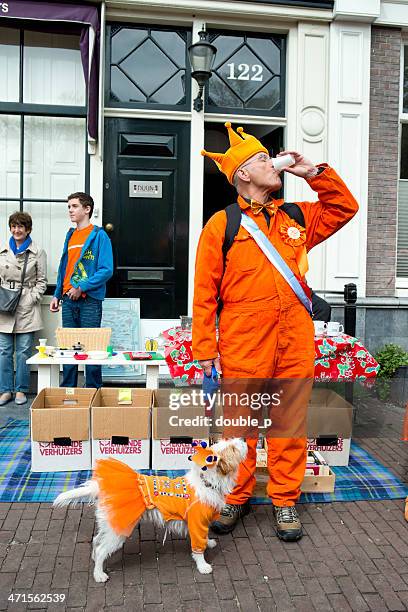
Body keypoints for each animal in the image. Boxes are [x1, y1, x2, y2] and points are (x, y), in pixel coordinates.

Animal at [52, 438, 247, 580]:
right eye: (233, 448)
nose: (243, 439)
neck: (208, 481)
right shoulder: (197, 523)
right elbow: (198, 547)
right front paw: (203, 566)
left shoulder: (200, 524)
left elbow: (204, 537)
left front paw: (209, 542)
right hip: (119, 531)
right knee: (101, 549)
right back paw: (99, 574)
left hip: (110, 524)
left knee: (96, 540)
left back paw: (94, 559)